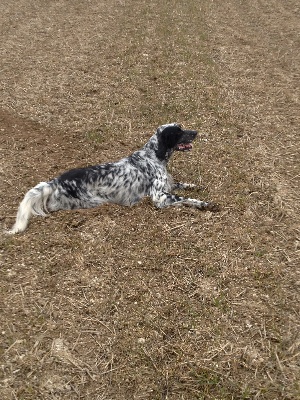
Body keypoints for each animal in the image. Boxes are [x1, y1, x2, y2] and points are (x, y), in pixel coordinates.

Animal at [7, 123, 218, 233]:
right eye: (178, 131)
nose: (196, 132)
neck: (153, 155)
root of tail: (55, 182)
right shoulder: (159, 196)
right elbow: (186, 198)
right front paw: (205, 204)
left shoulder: (168, 185)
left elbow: (183, 185)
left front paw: (196, 186)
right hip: (92, 201)